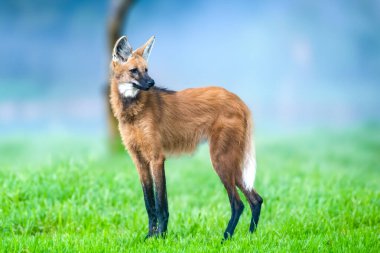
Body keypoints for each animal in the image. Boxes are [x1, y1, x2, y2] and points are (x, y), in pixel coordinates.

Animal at [107, 35, 262, 239]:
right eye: (134, 71)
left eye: (146, 70)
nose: (151, 83)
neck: (132, 112)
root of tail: (239, 100)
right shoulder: (139, 161)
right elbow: (149, 204)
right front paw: (149, 237)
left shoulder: (157, 158)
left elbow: (161, 204)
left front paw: (161, 237)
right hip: (231, 163)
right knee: (256, 200)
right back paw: (251, 236)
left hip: (220, 160)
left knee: (238, 203)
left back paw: (225, 238)